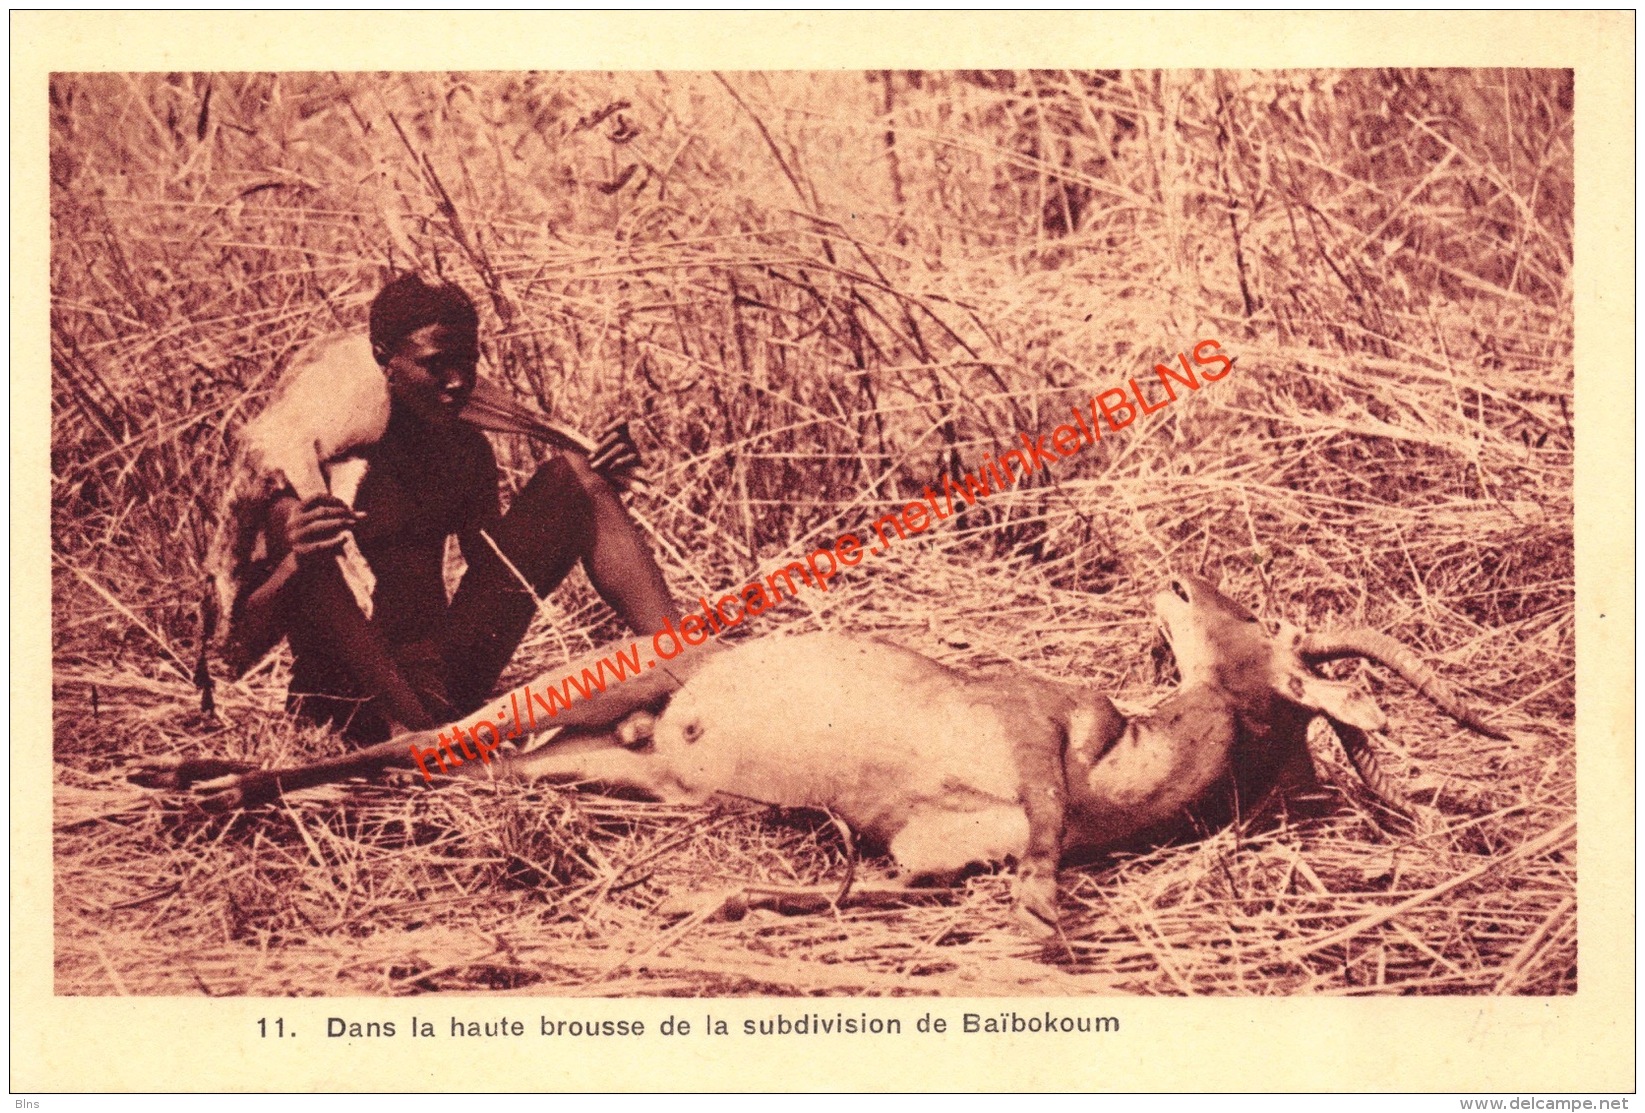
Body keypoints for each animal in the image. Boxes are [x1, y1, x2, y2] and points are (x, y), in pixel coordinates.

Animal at [148, 572, 1506, 927]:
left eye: (1264, 623)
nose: (1177, 579)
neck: (1121, 771)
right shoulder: (1030, 723)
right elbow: (1041, 842)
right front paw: (1050, 910)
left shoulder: (922, 858)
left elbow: (875, 882)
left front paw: (727, 901)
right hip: (605, 684)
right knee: (425, 733)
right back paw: (177, 781)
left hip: (602, 763)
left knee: (438, 768)